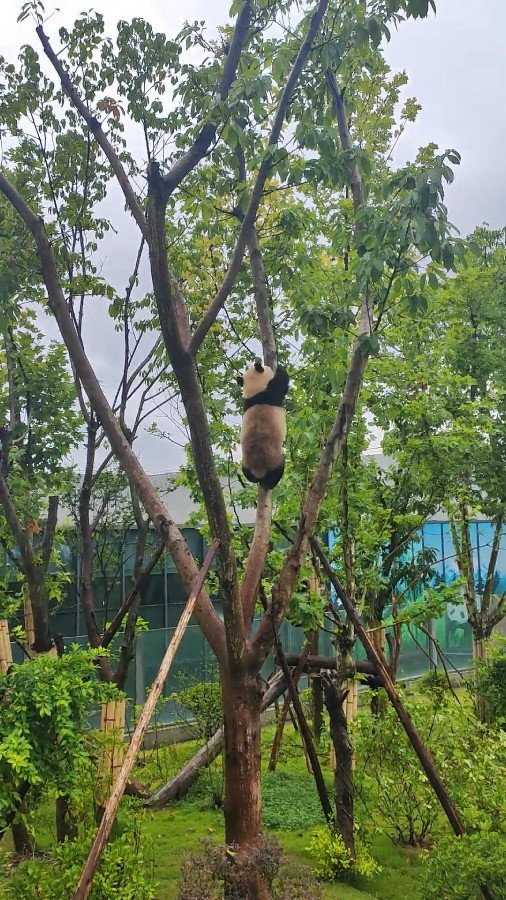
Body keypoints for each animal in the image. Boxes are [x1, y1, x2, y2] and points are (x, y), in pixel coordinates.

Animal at [237, 361, 289, 489]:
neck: (255, 392)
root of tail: (259, 469)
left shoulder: (247, 403)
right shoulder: (271, 393)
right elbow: (282, 385)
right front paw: (280, 369)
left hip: (245, 462)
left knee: (247, 473)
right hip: (275, 459)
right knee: (278, 469)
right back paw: (272, 483)